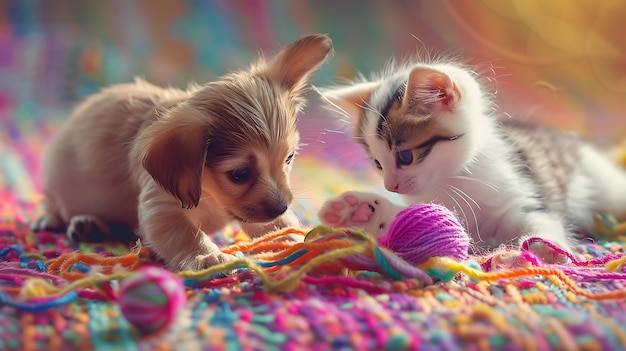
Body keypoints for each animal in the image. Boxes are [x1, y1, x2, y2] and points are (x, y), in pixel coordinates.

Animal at [31, 34, 334, 270]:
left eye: (289, 158)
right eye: (239, 173)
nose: (281, 205)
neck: (210, 197)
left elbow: (278, 227)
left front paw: (300, 241)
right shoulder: (160, 207)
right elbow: (187, 234)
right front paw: (206, 257)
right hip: (56, 183)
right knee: (53, 205)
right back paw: (66, 220)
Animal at [316, 59, 624, 262]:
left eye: (405, 156)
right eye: (377, 164)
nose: (391, 186)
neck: (453, 179)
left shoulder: (518, 196)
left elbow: (539, 220)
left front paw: (543, 249)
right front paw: (360, 211)